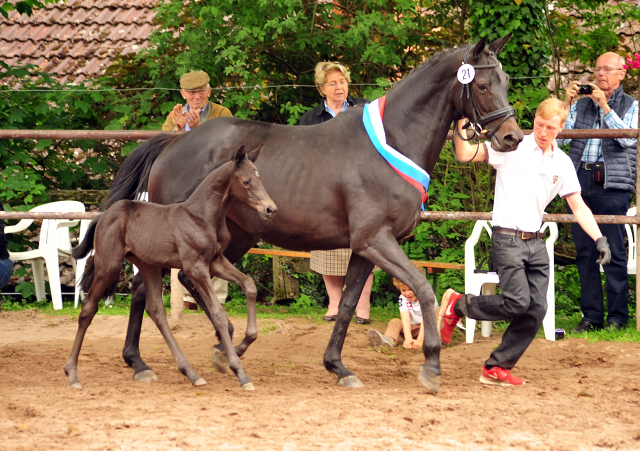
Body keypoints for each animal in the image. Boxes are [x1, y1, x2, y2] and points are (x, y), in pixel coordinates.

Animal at [65, 147, 276, 390]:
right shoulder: (196, 267)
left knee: (156, 310)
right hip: (109, 266)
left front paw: (247, 340)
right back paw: (72, 374)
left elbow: (249, 285)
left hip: (149, 266)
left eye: (261, 179)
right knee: (88, 308)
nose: (270, 209)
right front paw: (240, 373)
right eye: (246, 181)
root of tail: (103, 215)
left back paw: (190, 372)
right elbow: (218, 313)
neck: (202, 216)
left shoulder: (216, 261)